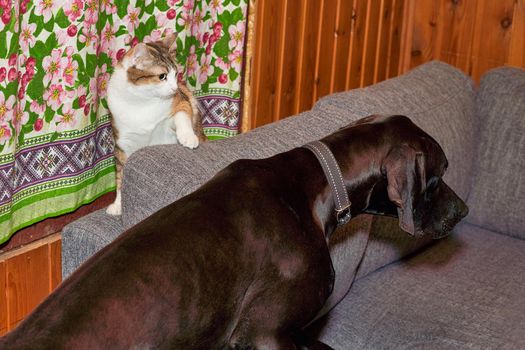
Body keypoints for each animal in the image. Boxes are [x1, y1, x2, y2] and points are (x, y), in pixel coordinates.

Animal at [106, 34, 205, 216]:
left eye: (176, 74)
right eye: (162, 76)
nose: (174, 87)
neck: (142, 102)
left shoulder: (181, 101)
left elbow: (182, 114)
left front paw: (188, 137)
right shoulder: (123, 145)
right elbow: (121, 176)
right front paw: (117, 205)